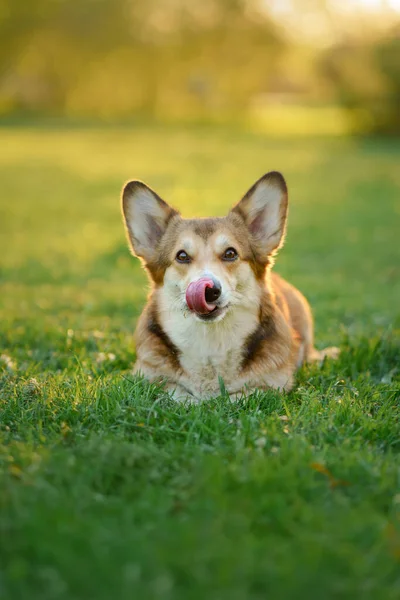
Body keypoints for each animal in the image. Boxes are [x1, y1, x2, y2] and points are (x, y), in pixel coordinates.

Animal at [121, 171, 338, 400]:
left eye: (230, 253)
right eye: (182, 256)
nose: (210, 290)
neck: (211, 341)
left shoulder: (274, 385)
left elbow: (241, 396)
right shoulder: (146, 377)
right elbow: (176, 393)